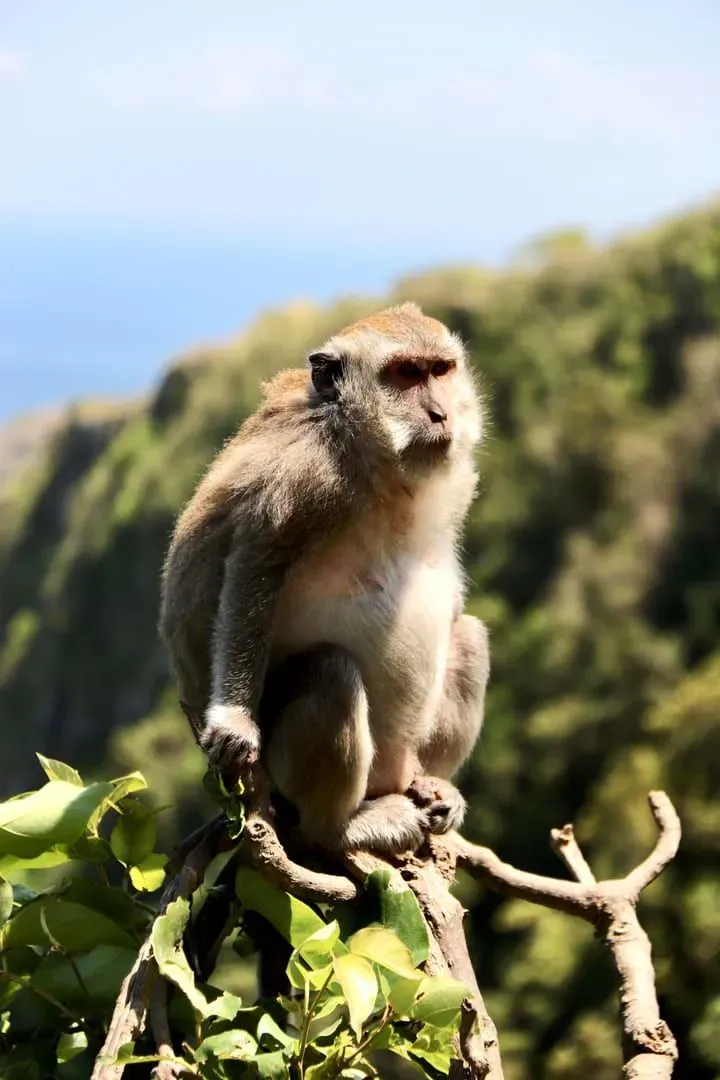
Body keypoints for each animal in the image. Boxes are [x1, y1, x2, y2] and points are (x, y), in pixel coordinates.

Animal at [159, 302, 489, 855]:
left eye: (440, 370)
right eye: (406, 374)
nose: (441, 414)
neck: (375, 459)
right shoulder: (306, 474)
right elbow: (255, 566)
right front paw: (234, 722)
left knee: (470, 636)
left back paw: (434, 787)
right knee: (330, 672)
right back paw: (340, 829)